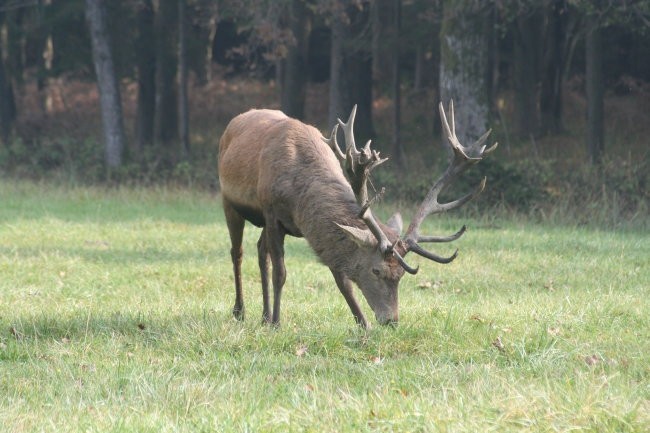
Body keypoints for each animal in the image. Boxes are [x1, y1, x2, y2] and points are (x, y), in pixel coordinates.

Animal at [215, 98, 494, 328]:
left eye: (401, 274)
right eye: (376, 271)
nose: (391, 320)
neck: (299, 199)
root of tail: (233, 122)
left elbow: (343, 281)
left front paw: (363, 323)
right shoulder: (272, 213)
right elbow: (280, 272)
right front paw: (276, 323)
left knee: (261, 251)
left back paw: (262, 315)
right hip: (229, 201)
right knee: (238, 253)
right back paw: (241, 311)